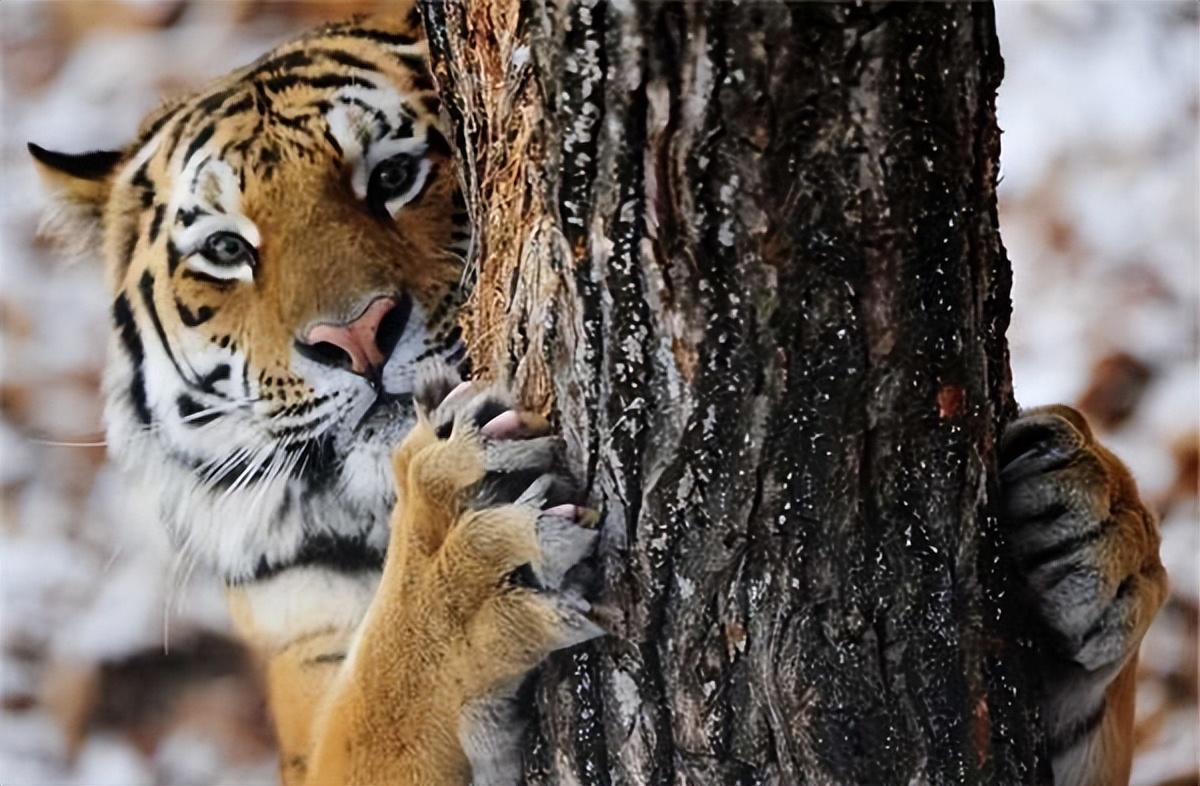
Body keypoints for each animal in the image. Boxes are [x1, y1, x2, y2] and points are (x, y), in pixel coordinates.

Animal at [30, 6, 1161, 786]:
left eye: (392, 173)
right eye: (226, 251)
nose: (356, 335)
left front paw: (1088, 520)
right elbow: (380, 703)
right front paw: (458, 563)